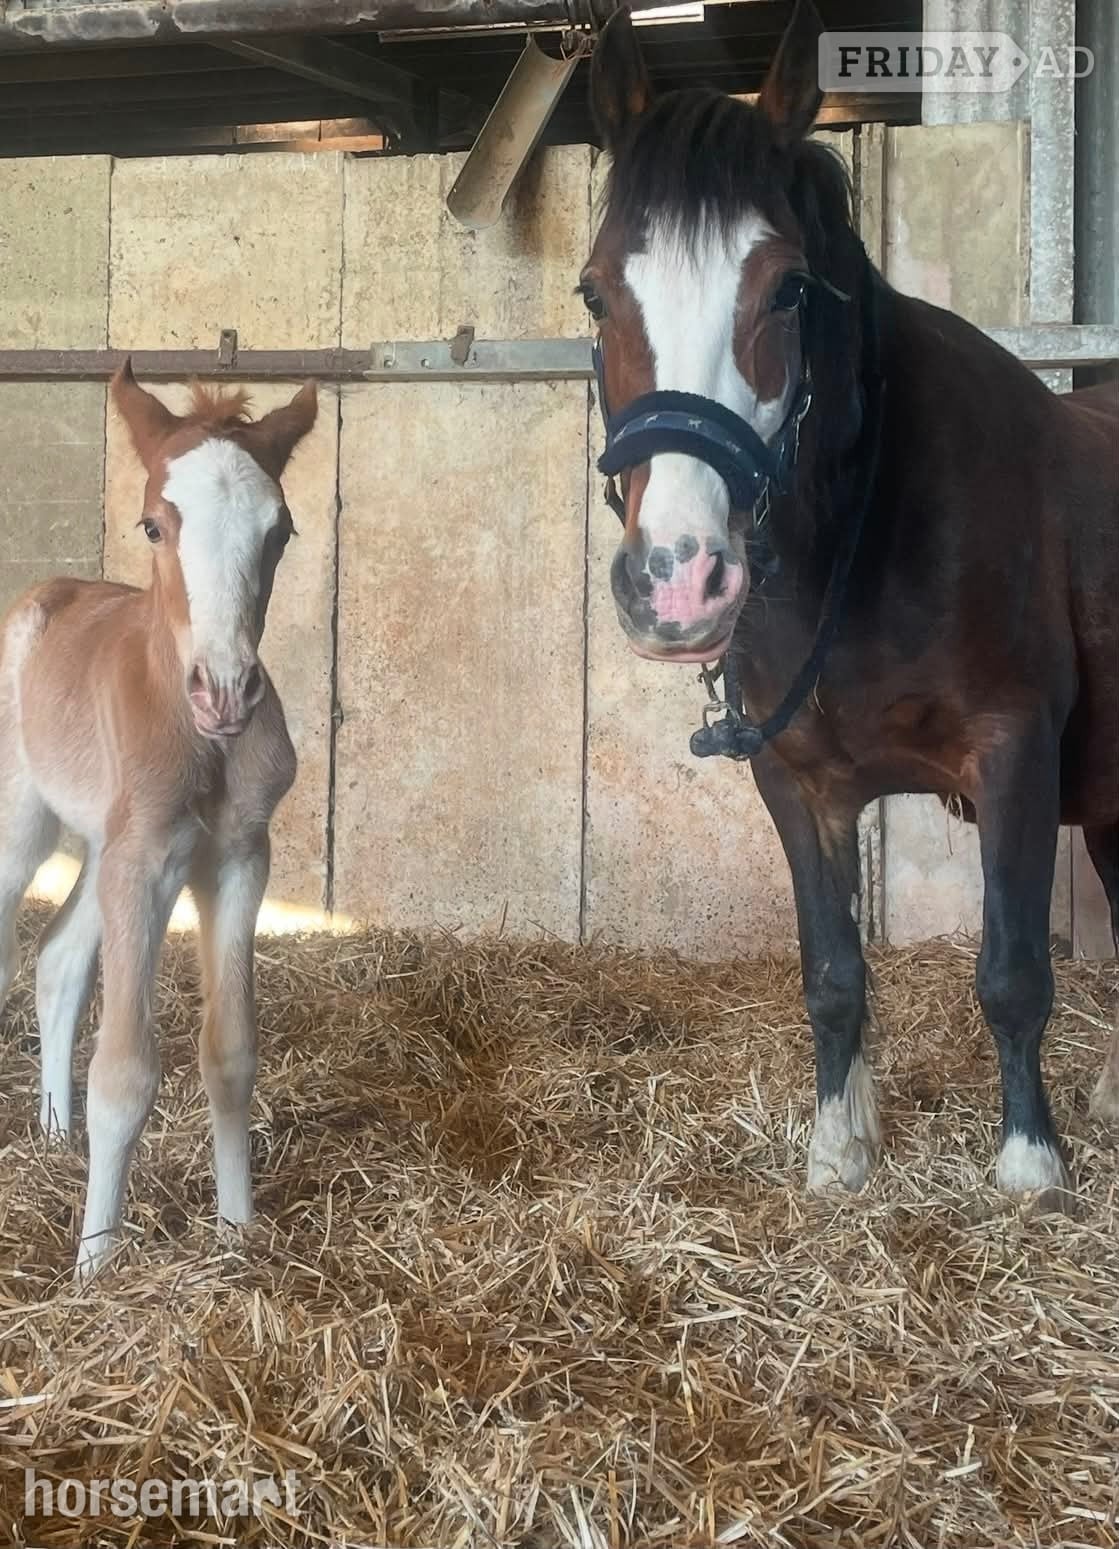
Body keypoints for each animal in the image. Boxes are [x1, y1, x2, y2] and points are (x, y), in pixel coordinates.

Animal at [0, 363, 316, 1277]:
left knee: (57, 957)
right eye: (153, 524)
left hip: (101, 846)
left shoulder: (235, 858)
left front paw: (238, 1232)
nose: (226, 691)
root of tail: (49, 592)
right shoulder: (142, 863)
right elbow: (126, 1072)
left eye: (281, 531)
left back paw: (54, 1132)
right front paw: (96, 1265)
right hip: (25, 826)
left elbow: (230, 1053)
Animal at [582, 0, 1119, 1208]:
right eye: (594, 290)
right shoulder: (798, 781)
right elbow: (831, 971)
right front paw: (841, 1147)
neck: (861, 547)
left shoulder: (1014, 755)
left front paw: (1030, 1162)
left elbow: (1012, 971)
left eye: (786, 288)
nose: (677, 578)